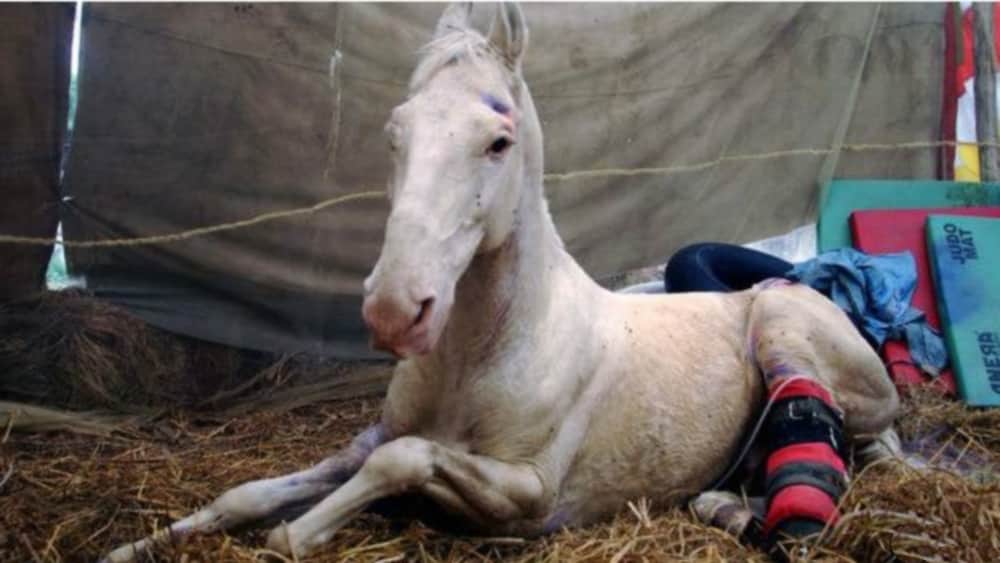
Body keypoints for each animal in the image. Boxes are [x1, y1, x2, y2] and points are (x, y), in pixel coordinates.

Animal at [103, 3, 900, 560]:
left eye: (498, 141)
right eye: (395, 134)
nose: (395, 309)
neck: (485, 355)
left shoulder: (529, 495)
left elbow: (389, 468)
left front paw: (300, 534)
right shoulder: (370, 438)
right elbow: (246, 494)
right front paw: (132, 545)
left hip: (785, 327)